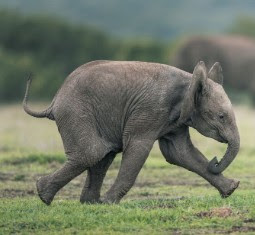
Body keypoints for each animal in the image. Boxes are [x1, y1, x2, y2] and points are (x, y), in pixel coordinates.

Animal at [22, 59, 240, 205]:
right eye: (221, 116)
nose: (216, 160)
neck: (189, 81)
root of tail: (54, 100)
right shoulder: (150, 110)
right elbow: (138, 148)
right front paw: (109, 203)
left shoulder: (176, 120)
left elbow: (180, 154)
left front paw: (231, 189)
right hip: (75, 111)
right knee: (92, 153)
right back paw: (44, 195)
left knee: (103, 156)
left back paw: (89, 203)